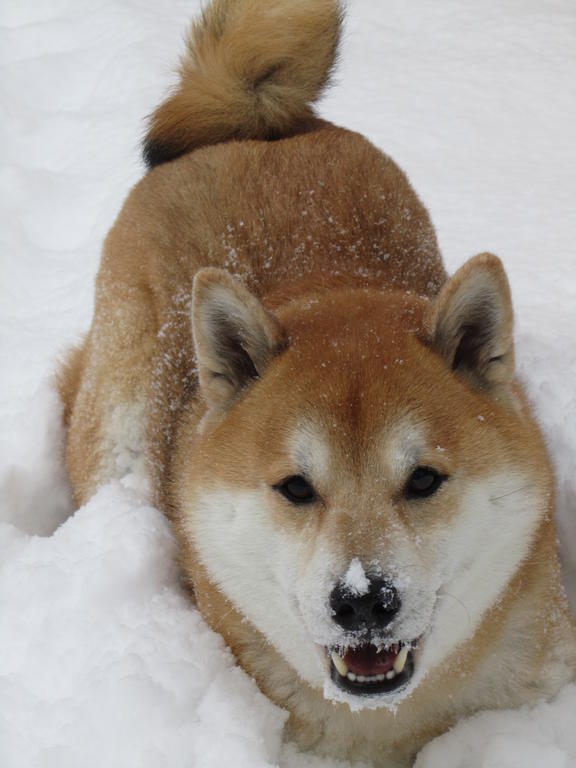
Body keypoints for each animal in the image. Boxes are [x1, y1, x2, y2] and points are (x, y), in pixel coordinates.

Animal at [59, 0, 576, 764]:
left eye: (424, 480)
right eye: (296, 489)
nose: (363, 601)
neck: (382, 724)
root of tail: (246, 125)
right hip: (118, 428)